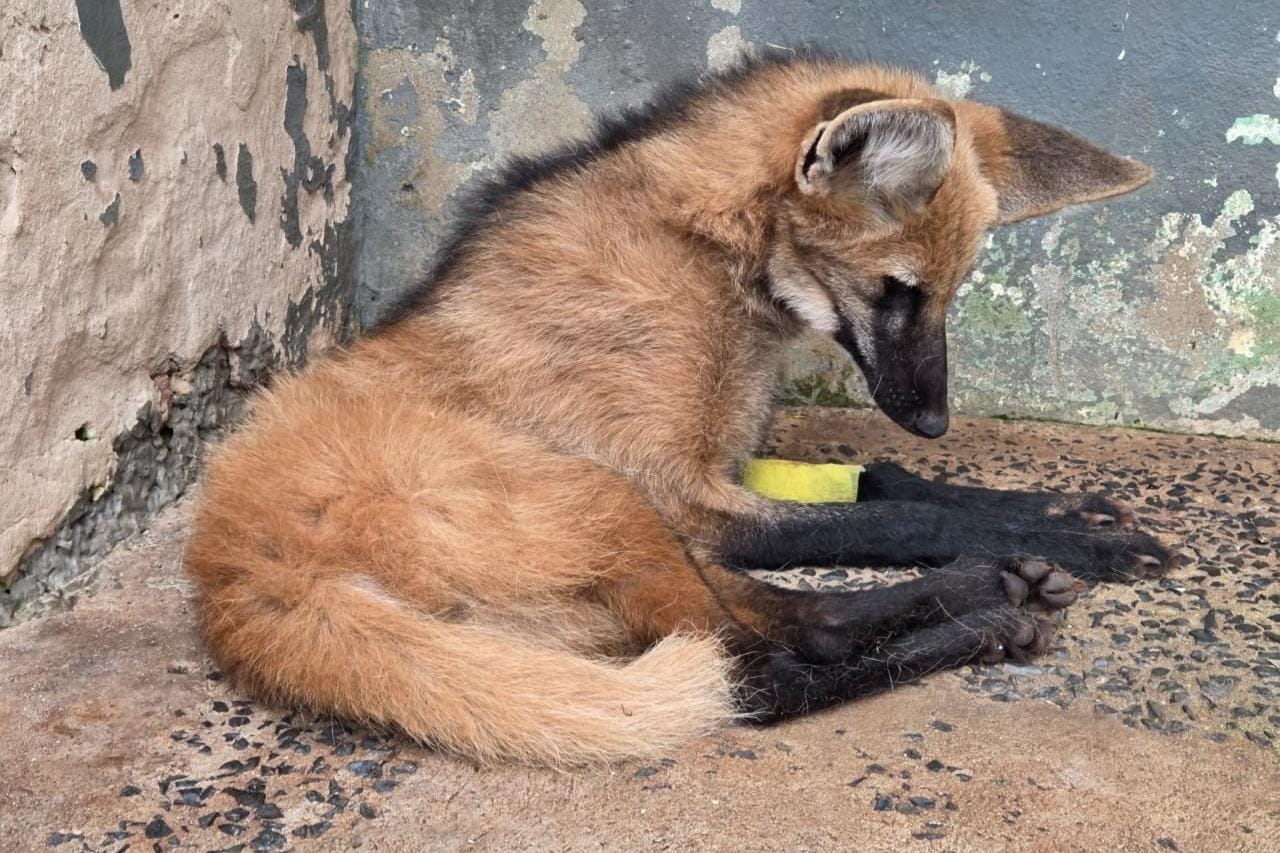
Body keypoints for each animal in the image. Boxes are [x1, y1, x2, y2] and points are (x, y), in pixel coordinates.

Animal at [185, 52, 1170, 765]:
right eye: (898, 290)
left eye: (949, 294)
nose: (934, 422)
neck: (712, 250)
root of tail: (240, 577)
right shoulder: (678, 489)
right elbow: (901, 516)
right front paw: (1073, 537)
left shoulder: (723, 462)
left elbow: (887, 485)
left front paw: (1054, 517)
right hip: (604, 500)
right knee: (762, 676)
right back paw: (988, 609)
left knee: (801, 624)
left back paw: (995, 590)